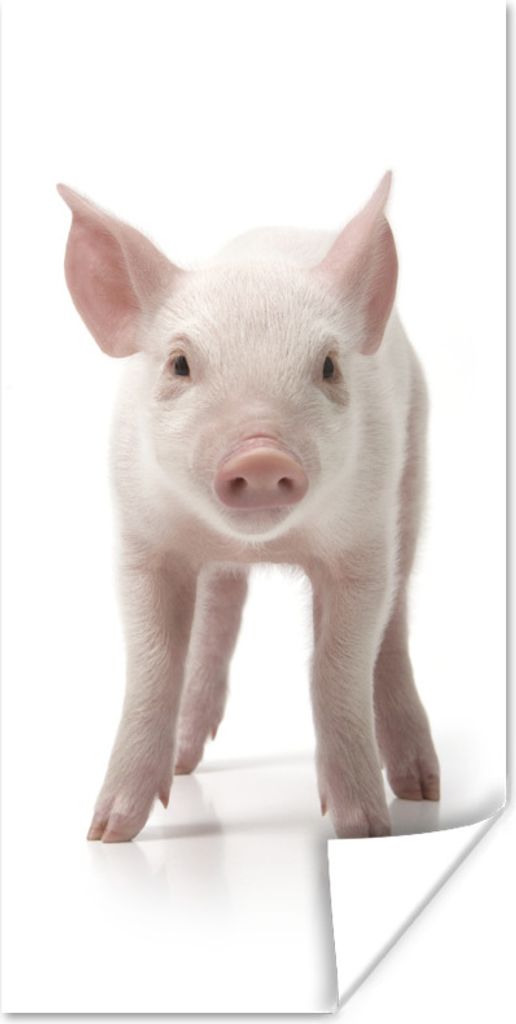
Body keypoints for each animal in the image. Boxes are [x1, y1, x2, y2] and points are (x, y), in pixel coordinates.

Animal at [58, 172, 440, 843]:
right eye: (180, 363)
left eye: (328, 365)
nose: (261, 454)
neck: (262, 544)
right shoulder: (144, 540)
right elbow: (153, 666)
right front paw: (107, 833)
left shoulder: (362, 541)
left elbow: (338, 666)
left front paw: (365, 831)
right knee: (219, 607)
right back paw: (186, 764)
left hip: (412, 469)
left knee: (392, 626)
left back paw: (421, 788)